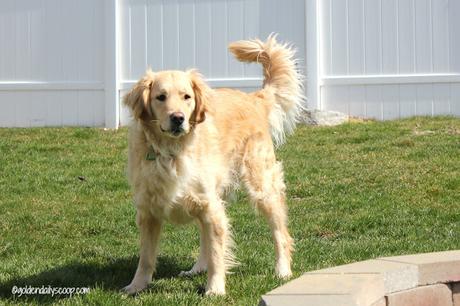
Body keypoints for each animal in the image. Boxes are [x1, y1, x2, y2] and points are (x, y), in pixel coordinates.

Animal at [121, 34, 306, 296]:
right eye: (161, 97)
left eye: (187, 97)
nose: (178, 118)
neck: (172, 151)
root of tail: (253, 98)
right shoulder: (148, 211)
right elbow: (146, 257)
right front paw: (136, 286)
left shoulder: (212, 209)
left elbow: (218, 254)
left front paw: (215, 289)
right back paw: (197, 268)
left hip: (261, 186)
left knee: (280, 233)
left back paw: (283, 270)